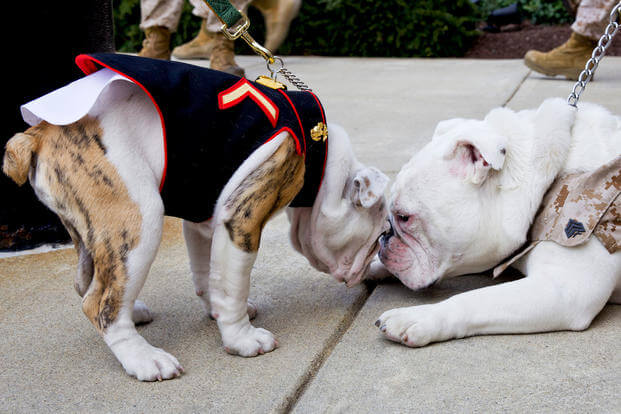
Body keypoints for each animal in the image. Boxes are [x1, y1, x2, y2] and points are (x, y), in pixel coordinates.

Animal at [1, 62, 388, 382]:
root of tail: (39, 134)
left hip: (92, 228)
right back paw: (144, 359)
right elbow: (233, 285)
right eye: (382, 232)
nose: (380, 254)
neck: (319, 157)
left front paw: (216, 310)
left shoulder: (206, 217)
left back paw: (132, 311)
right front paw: (242, 338)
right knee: (98, 304)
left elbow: (210, 274)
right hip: (138, 218)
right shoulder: (240, 220)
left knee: (91, 281)